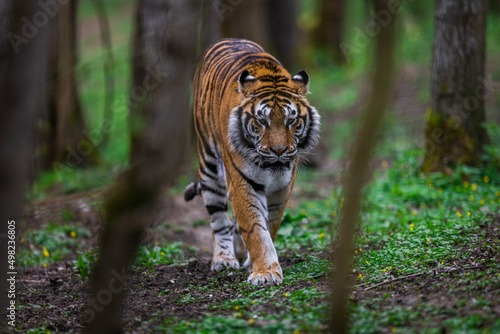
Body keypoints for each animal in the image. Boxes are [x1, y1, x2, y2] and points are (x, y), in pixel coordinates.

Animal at [185, 37, 320, 286]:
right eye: (261, 121)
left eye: (291, 120)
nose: (279, 150)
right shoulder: (241, 181)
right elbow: (255, 228)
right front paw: (266, 272)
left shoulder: (283, 186)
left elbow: (270, 224)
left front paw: (255, 264)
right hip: (209, 165)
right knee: (218, 219)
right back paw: (224, 259)